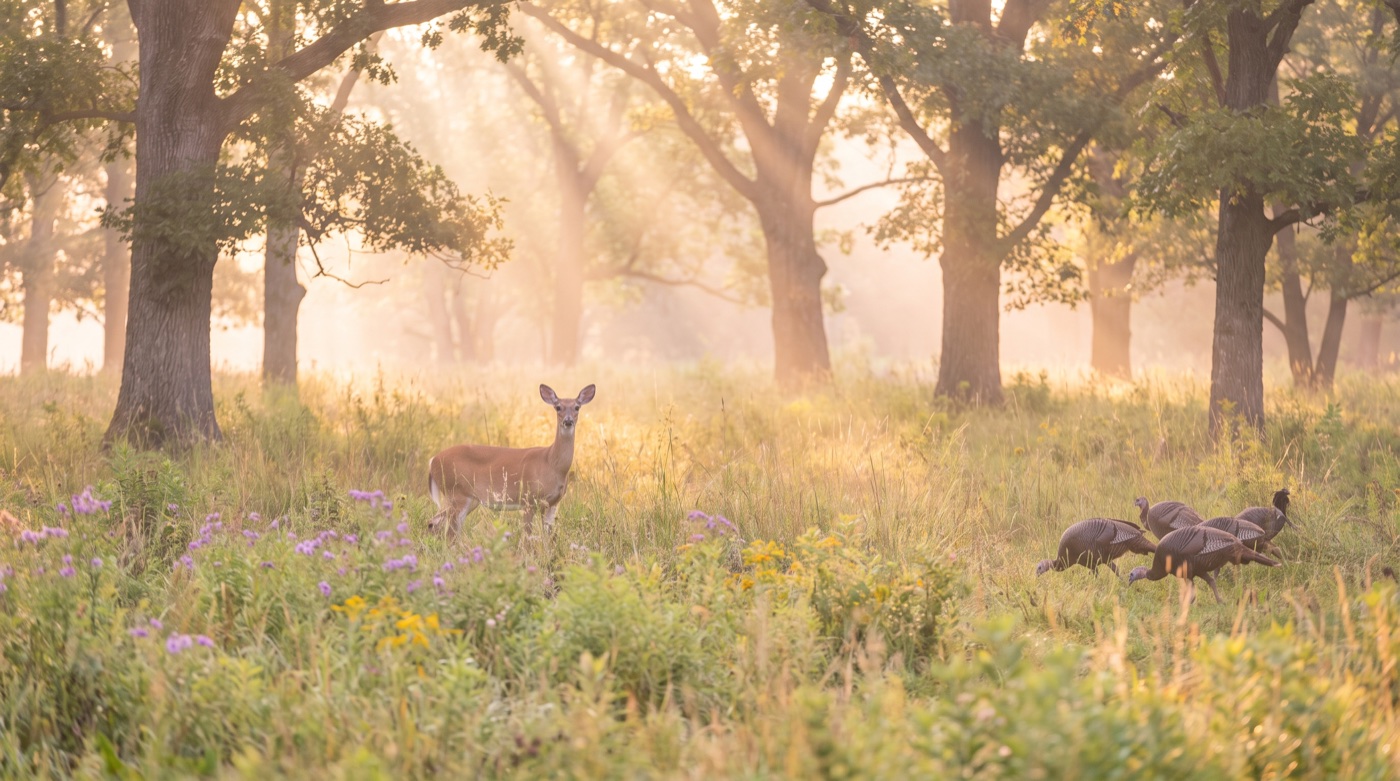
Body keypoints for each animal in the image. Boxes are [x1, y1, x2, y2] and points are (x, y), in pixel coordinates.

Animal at [427, 384, 596, 538]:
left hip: (469, 498)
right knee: (448, 531)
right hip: (456, 492)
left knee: (436, 523)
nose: (568, 421)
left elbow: (547, 537)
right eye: (558, 407)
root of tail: (432, 460)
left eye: (577, 407)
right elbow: (527, 537)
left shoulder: (553, 503)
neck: (551, 463)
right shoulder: (528, 498)